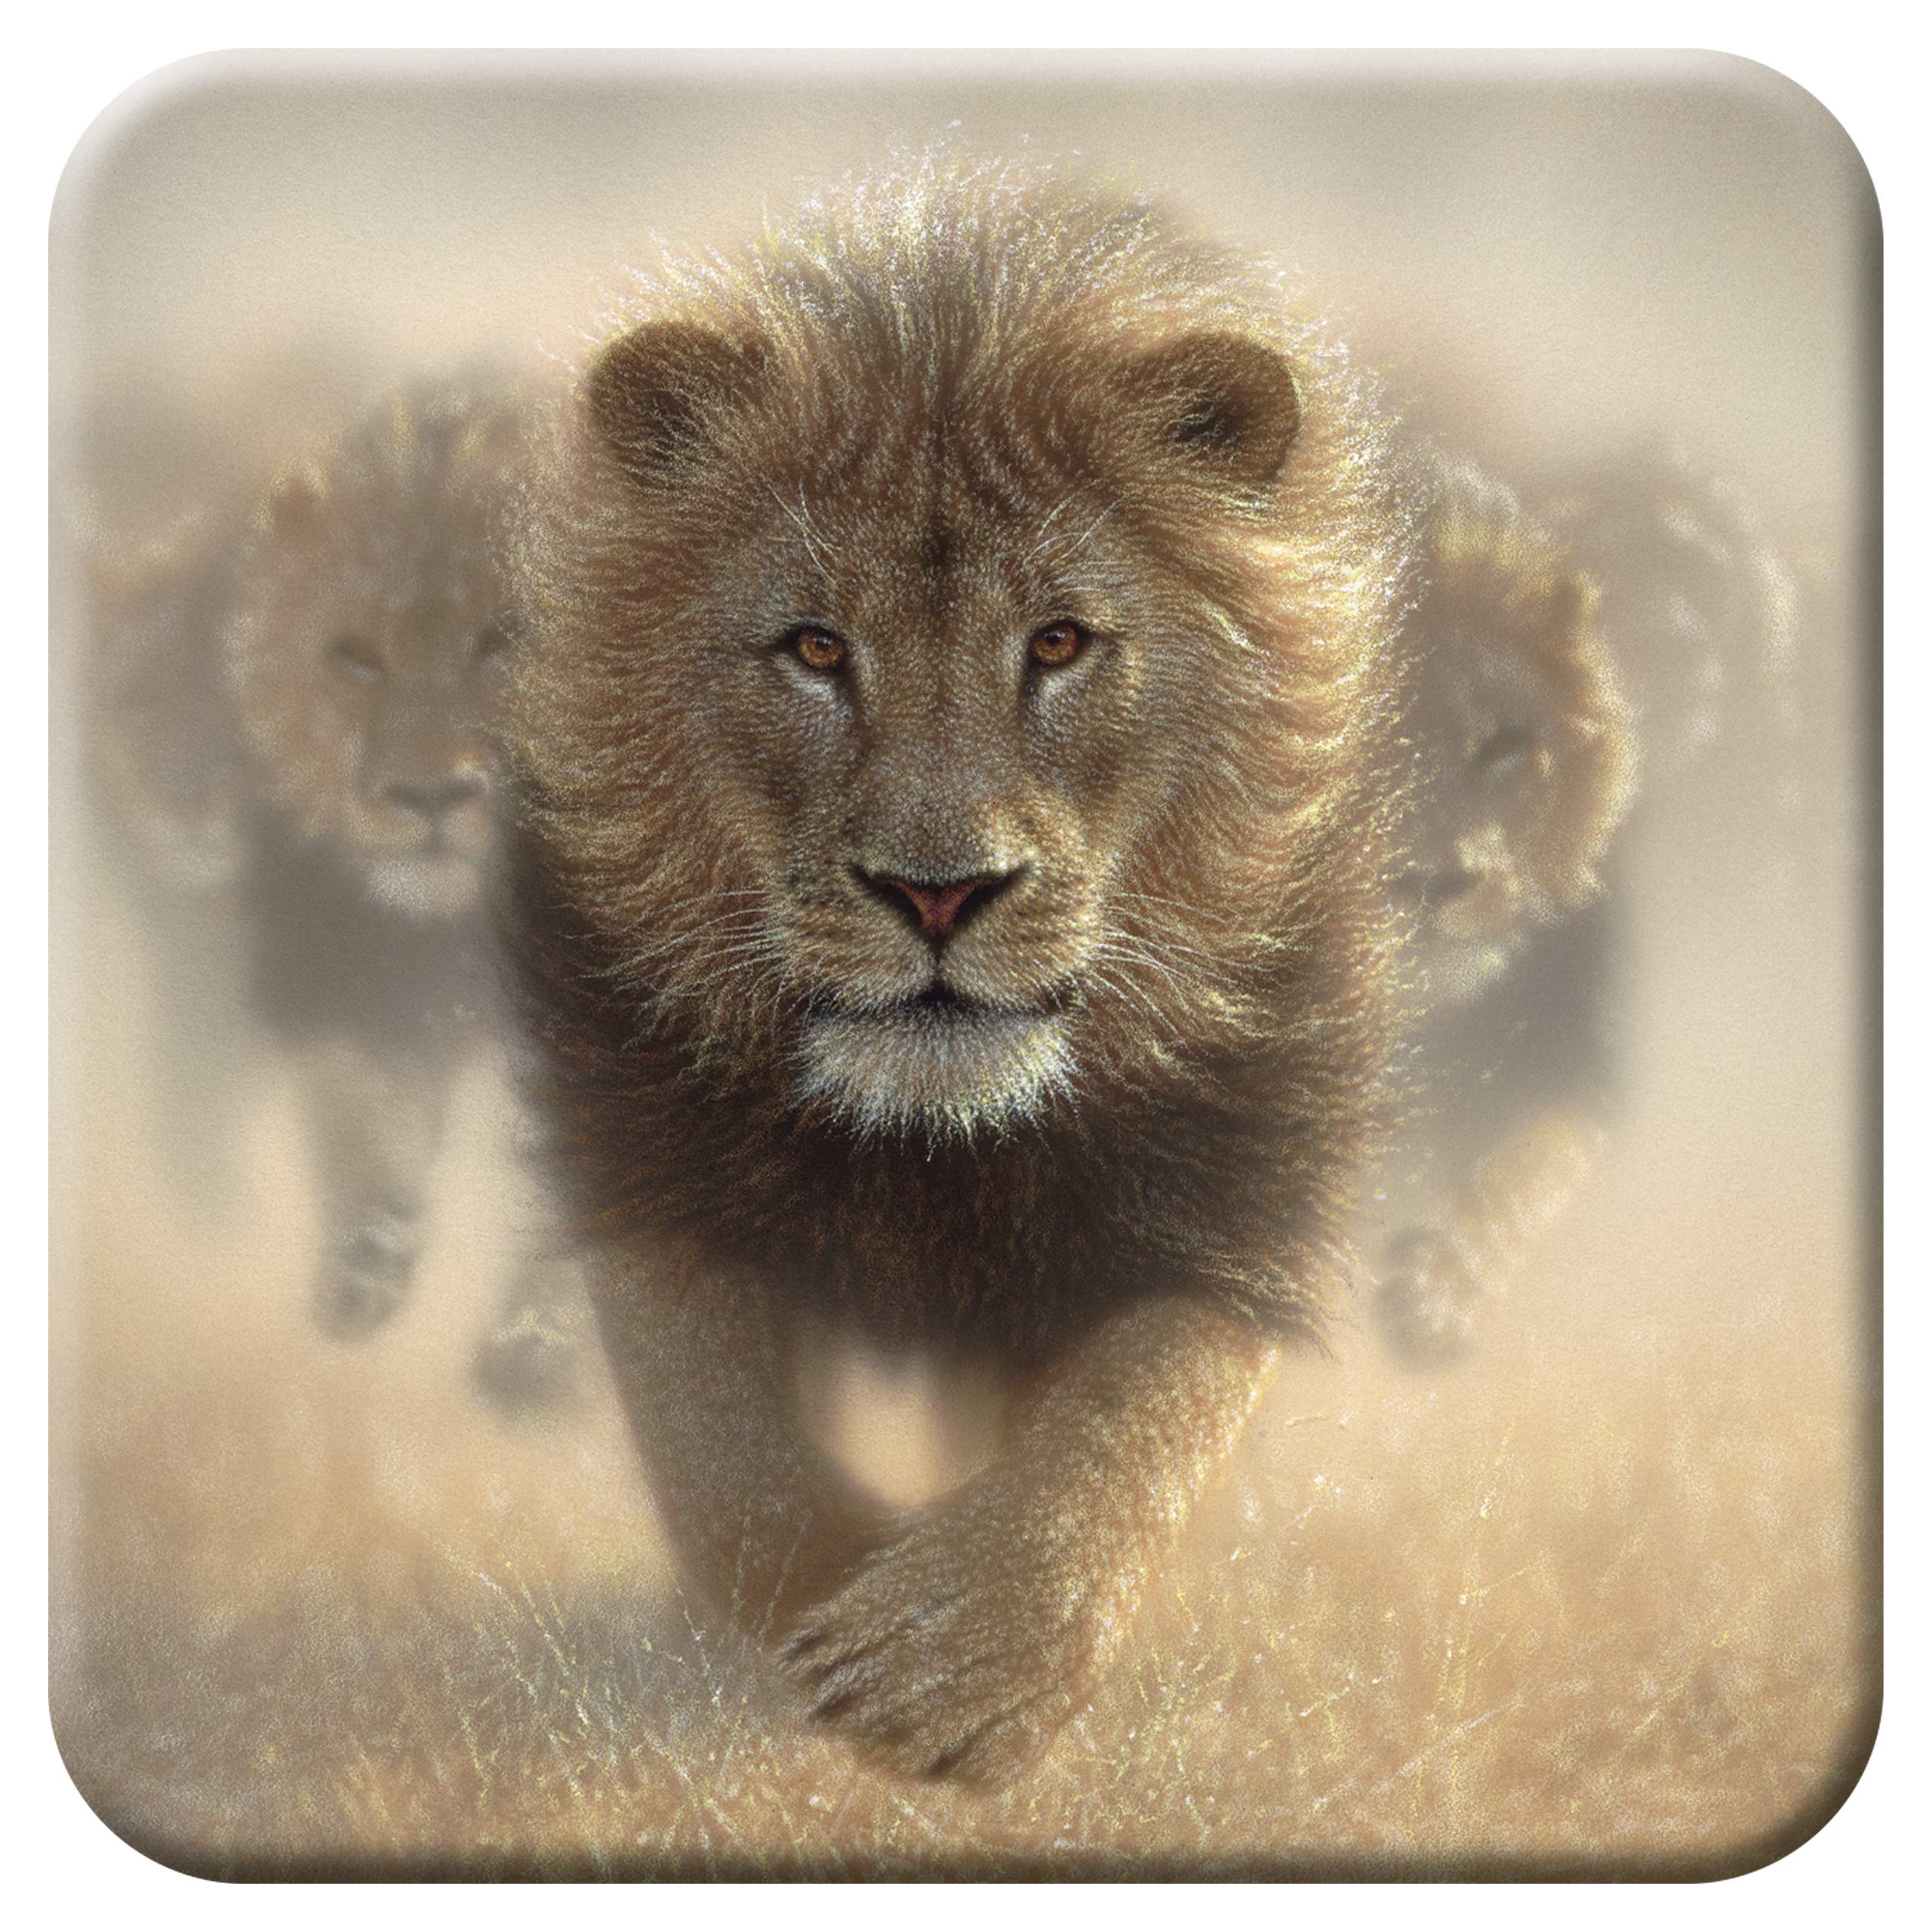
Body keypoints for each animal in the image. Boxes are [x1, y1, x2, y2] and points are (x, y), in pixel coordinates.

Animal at [92, 378, 589, 1409]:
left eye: (505, 640)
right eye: (356, 656)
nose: (430, 796)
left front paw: (542, 1342)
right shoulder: (344, 975)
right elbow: (359, 1119)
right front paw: (364, 1264)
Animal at [508, 155, 1419, 1783]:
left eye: (1057, 642)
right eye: (814, 648)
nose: (938, 893)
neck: (934, 1148)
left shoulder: (1239, 1183)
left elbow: (1133, 1423)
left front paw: (950, 1660)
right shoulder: (639, 1139)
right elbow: (722, 1456)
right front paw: (823, 1620)